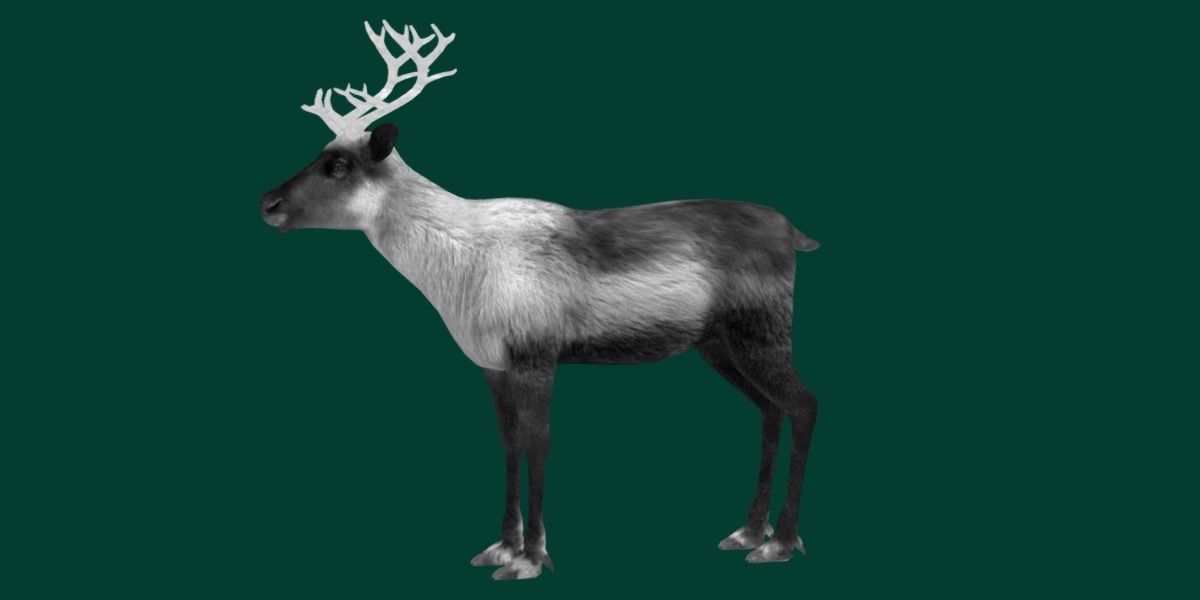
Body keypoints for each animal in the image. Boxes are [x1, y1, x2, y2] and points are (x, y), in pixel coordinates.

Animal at [260, 21, 822, 581]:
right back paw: (748, 531)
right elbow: (510, 443)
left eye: (338, 164)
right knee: (769, 410)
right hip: (717, 345)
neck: (458, 268)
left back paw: (780, 542)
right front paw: (502, 547)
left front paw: (531, 558)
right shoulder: (492, 364)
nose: (268, 202)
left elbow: (539, 442)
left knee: (804, 404)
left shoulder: (537, 355)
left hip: (761, 332)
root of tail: (794, 234)